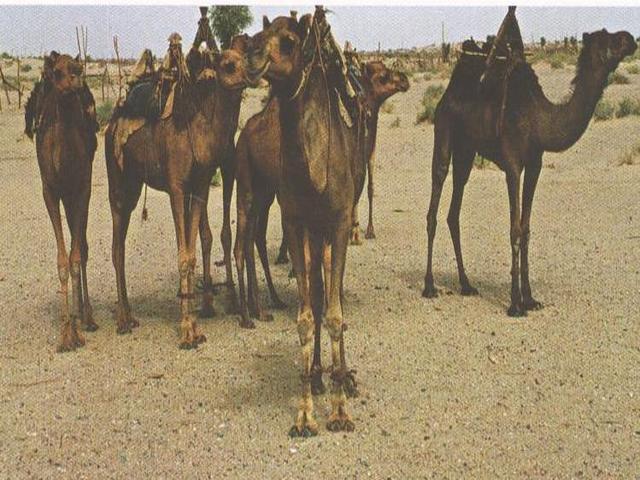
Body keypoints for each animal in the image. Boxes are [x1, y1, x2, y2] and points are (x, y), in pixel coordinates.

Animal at [105, 34, 260, 347]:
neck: (198, 130)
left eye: (245, 55)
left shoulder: (199, 185)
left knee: (121, 242)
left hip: (133, 183)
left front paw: (194, 326)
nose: (253, 73)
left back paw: (130, 315)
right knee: (117, 245)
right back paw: (123, 320)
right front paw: (187, 329)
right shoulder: (176, 187)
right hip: (117, 180)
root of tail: (111, 124)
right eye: (228, 64)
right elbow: (183, 252)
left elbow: (192, 250)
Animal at [233, 60, 409, 328]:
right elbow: (316, 258)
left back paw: (264, 306)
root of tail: (244, 134)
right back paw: (247, 314)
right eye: (382, 75)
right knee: (242, 241)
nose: (404, 79)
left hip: (265, 191)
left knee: (254, 236)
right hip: (246, 181)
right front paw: (327, 309)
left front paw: (332, 306)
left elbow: (325, 257)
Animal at [247, 7, 385, 436]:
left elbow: (337, 314)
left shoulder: (338, 224)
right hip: (314, 233)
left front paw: (340, 412)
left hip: (330, 230)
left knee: (332, 295)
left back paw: (344, 377)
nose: (250, 55)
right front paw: (305, 412)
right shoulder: (296, 223)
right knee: (322, 290)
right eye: (258, 34)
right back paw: (323, 375)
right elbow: (308, 316)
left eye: (288, 41)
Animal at [422, 26, 637, 316]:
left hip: (466, 149)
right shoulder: (513, 164)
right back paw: (429, 286)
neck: (539, 120)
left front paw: (530, 299)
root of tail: (447, 93)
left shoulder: (535, 165)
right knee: (437, 190)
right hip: (444, 129)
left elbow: (526, 229)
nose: (631, 38)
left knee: (454, 209)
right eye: (608, 38)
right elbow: (514, 228)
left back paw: (466, 285)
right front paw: (515, 304)